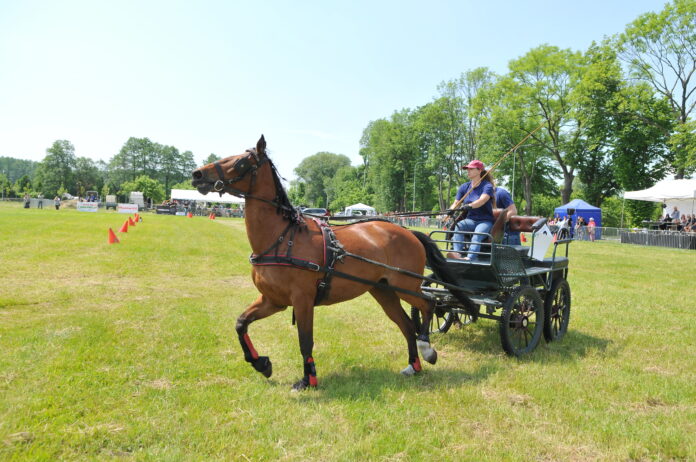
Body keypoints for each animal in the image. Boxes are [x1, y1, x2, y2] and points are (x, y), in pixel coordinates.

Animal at [193, 134, 470, 390]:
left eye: (239, 162)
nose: (197, 175)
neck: (282, 237)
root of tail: (407, 231)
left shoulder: (302, 300)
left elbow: (305, 340)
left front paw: (308, 379)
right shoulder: (273, 300)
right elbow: (241, 323)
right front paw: (262, 364)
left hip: (406, 285)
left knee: (429, 304)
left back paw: (426, 348)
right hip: (383, 291)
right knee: (406, 325)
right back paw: (414, 365)